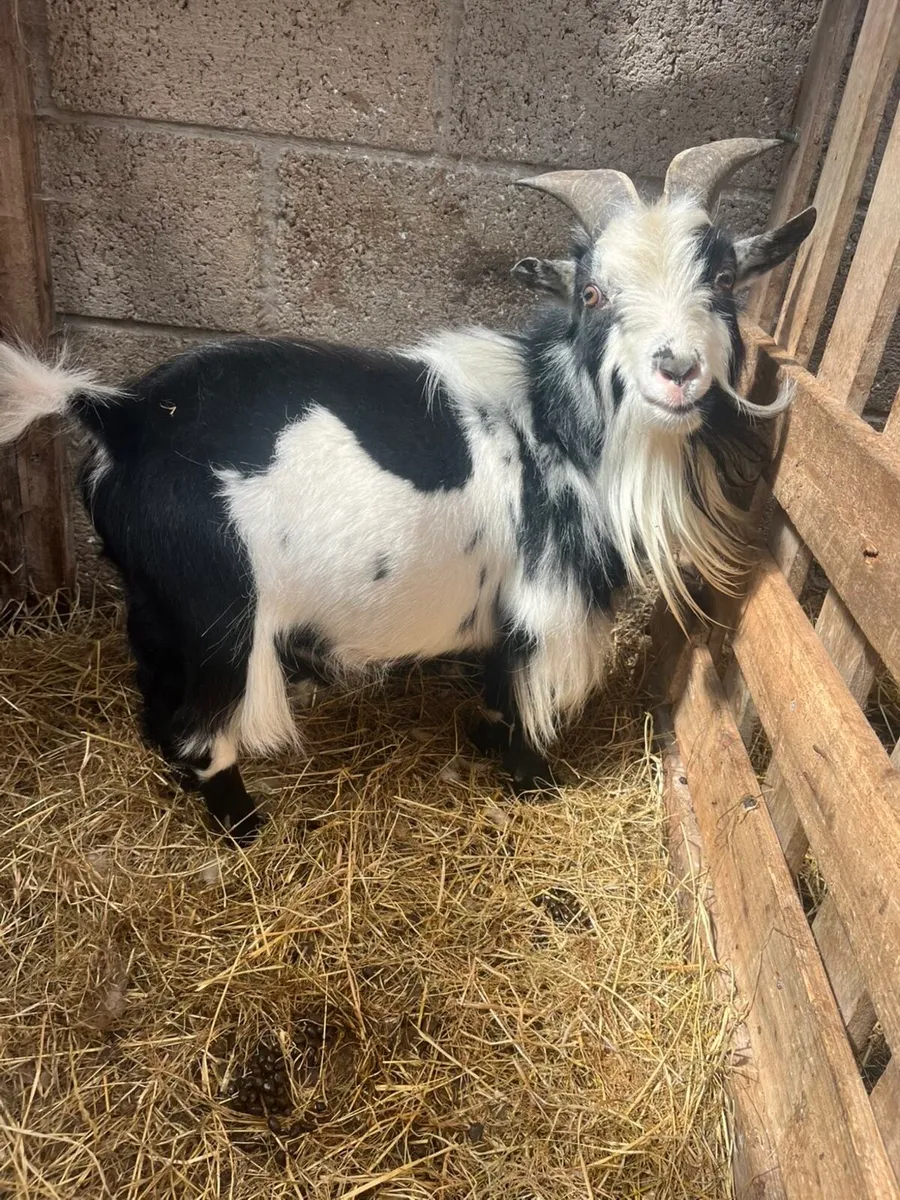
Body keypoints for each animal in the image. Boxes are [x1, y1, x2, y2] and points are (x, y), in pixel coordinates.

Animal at [0, 137, 815, 846]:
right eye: (592, 292)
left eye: (723, 280)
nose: (676, 368)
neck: (557, 421)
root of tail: (121, 415)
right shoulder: (548, 600)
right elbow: (528, 699)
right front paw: (532, 785)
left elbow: (498, 683)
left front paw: (484, 741)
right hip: (215, 614)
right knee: (200, 731)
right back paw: (244, 830)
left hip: (157, 609)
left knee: (158, 711)